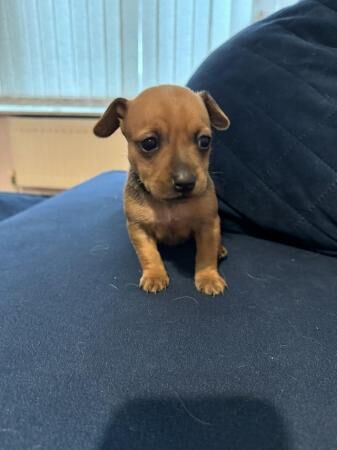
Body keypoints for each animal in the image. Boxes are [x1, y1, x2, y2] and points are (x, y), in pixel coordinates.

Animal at [93, 85, 230, 296]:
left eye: (205, 141)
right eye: (149, 143)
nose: (185, 182)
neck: (169, 205)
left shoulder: (208, 224)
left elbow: (206, 254)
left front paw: (208, 277)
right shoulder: (139, 228)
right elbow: (149, 254)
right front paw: (154, 275)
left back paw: (220, 249)